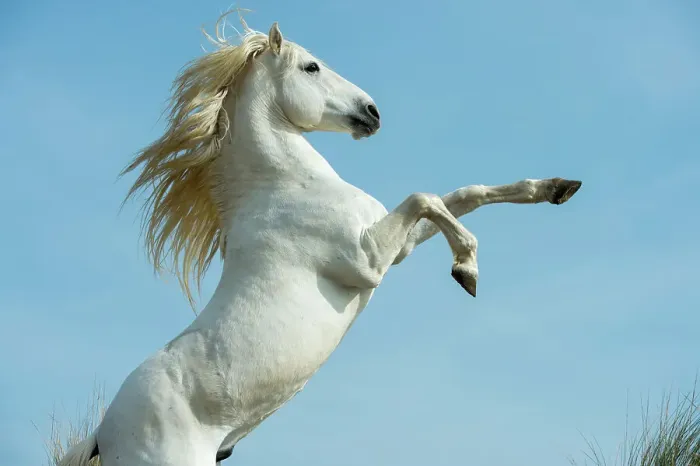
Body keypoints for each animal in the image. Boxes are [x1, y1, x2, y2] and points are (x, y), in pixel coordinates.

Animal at [57, 13, 582, 466]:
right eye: (311, 66)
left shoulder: (396, 246)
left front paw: (555, 188)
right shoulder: (368, 259)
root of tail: (102, 433)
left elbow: (461, 195)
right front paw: (467, 270)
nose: (372, 113)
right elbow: (427, 197)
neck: (285, 186)